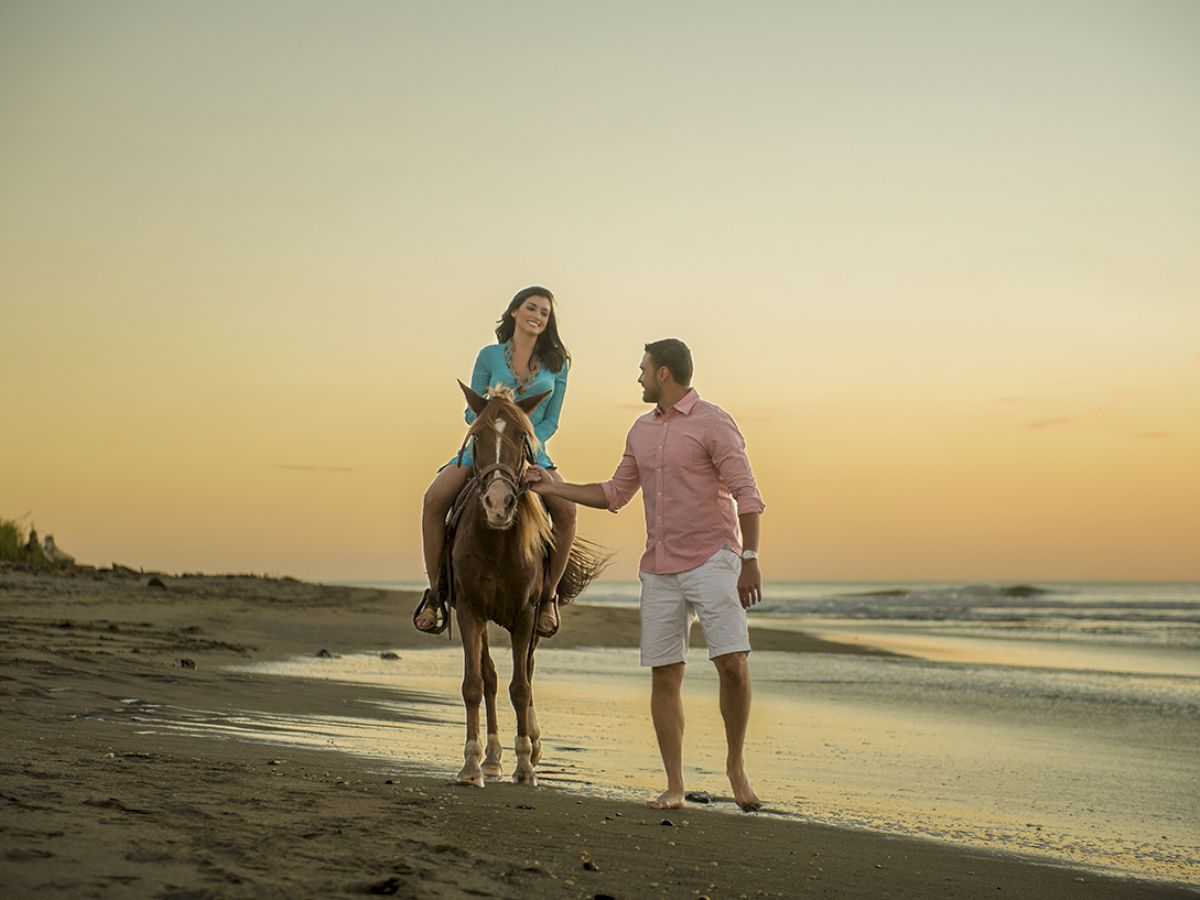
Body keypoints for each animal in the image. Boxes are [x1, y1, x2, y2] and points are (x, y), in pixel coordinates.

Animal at [451, 381, 604, 787]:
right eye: (477, 438)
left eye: (523, 437)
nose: (498, 503)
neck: (496, 544)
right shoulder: (470, 610)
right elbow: (474, 684)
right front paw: (471, 765)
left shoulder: (524, 616)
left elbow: (521, 688)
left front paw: (525, 765)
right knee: (489, 677)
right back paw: (491, 759)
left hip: (535, 621)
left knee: (528, 673)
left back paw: (532, 747)